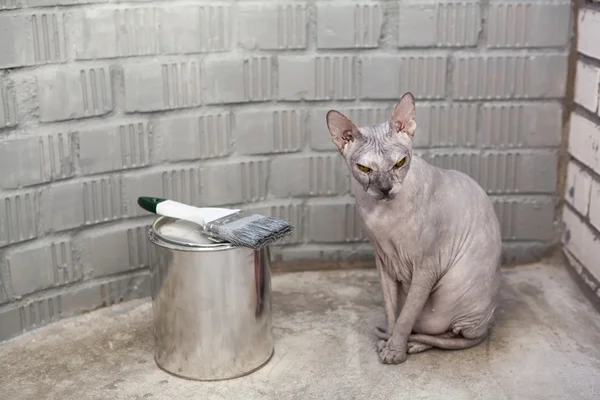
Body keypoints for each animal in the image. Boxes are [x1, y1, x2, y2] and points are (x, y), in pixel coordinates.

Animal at [326, 92, 504, 364]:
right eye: (365, 168)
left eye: (400, 163)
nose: (385, 189)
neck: (382, 216)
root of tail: (487, 325)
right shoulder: (384, 262)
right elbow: (392, 313)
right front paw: (389, 341)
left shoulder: (426, 267)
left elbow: (406, 316)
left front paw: (395, 350)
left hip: (449, 304)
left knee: (453, 334)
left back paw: (415, 344)